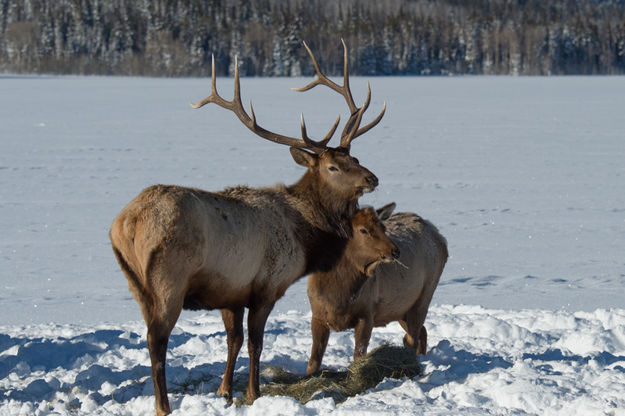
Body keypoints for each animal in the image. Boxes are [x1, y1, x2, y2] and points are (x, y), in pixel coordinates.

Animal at [110, 40, 388, 414]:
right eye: (332, 166)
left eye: (354, 158)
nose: (372, 178)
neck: (306, 237)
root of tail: (128, 221)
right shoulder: (267, 286)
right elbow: (256, 343)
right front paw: (254, 393)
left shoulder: (231, 293)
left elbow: (234, 341)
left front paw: (225, 392)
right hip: (169, 279)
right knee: (157, 339)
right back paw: (163, 406)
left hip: (135, 283)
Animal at [304, 203, 446, 376]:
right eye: (363, 230)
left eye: (383, 227)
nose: (395, 251)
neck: (338, 297)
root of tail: (438, 234)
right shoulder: (317, 315)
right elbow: (313, 362)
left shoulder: (367, 314)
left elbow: (358, 356)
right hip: (400, 309)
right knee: (420, 332)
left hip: (424, 295)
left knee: (412, 337)